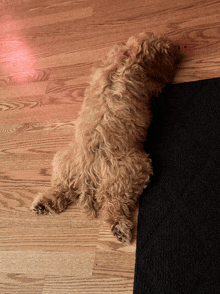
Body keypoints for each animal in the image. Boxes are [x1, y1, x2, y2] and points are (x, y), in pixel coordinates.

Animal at [31, 32, 182, 243]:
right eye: (168, 48)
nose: (179, 47)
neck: (126, 57)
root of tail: (87, 173)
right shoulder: (153, 83)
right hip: (133, 170)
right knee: (114, 203)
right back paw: (120, 228)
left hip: (64, 161)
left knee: (63, 188)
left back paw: (44, 204)